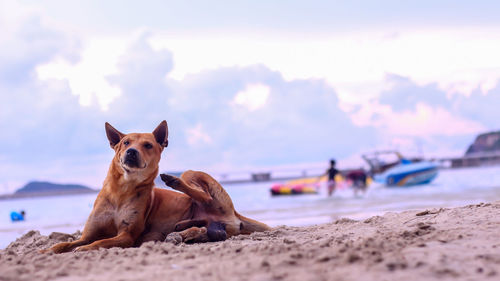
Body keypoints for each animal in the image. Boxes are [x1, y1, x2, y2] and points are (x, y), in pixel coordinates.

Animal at [43, 121, 270, 253]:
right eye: (125, 143)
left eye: (148, 145)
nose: (131, 152)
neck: (122, 189)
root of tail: (235, 213)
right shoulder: (88, 234)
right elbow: (64, 244)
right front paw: (47, 250)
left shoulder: (127, 236)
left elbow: (99, 243)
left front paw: (85, 250)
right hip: (215, 223)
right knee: (213, 230)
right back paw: (186, 230)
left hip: (192, 175)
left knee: (205, 197)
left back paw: (174, 185)